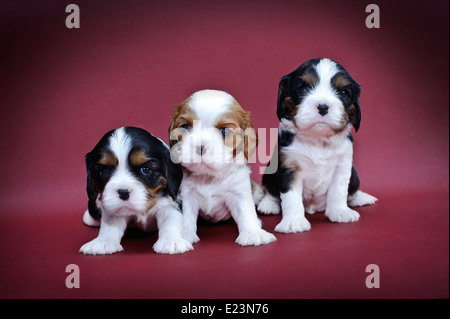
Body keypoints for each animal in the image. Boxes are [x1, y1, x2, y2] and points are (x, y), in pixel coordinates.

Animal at [79, 127, 192, 255]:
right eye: (104, 171)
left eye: (146, 169)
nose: (123, 192)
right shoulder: (113, 207)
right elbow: (110, 224)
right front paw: (103, 242)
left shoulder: (170, 202)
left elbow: (170, 220)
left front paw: (171, 241)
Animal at [168, 90, 274, 248]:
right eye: (185, 127)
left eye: (224, 131)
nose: (201, 147)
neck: (208, 176)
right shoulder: (187, 194)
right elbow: (186, 215)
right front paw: (183, 235)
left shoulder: (239, 192)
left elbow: (246, 211)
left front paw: (253, 233)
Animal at [256, 58, 376, 232]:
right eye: (303, 89)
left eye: (343, 93)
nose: (323, 107)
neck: (317, 140)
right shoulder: (289, 166)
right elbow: (291, 197)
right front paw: (293, 221)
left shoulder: (343, 165)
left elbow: (339, 190)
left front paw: (340, 212)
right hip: (269, 171)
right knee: (270, 189)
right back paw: (268, 205)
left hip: (355, 176)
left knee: (352, 189)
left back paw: (361, 198)